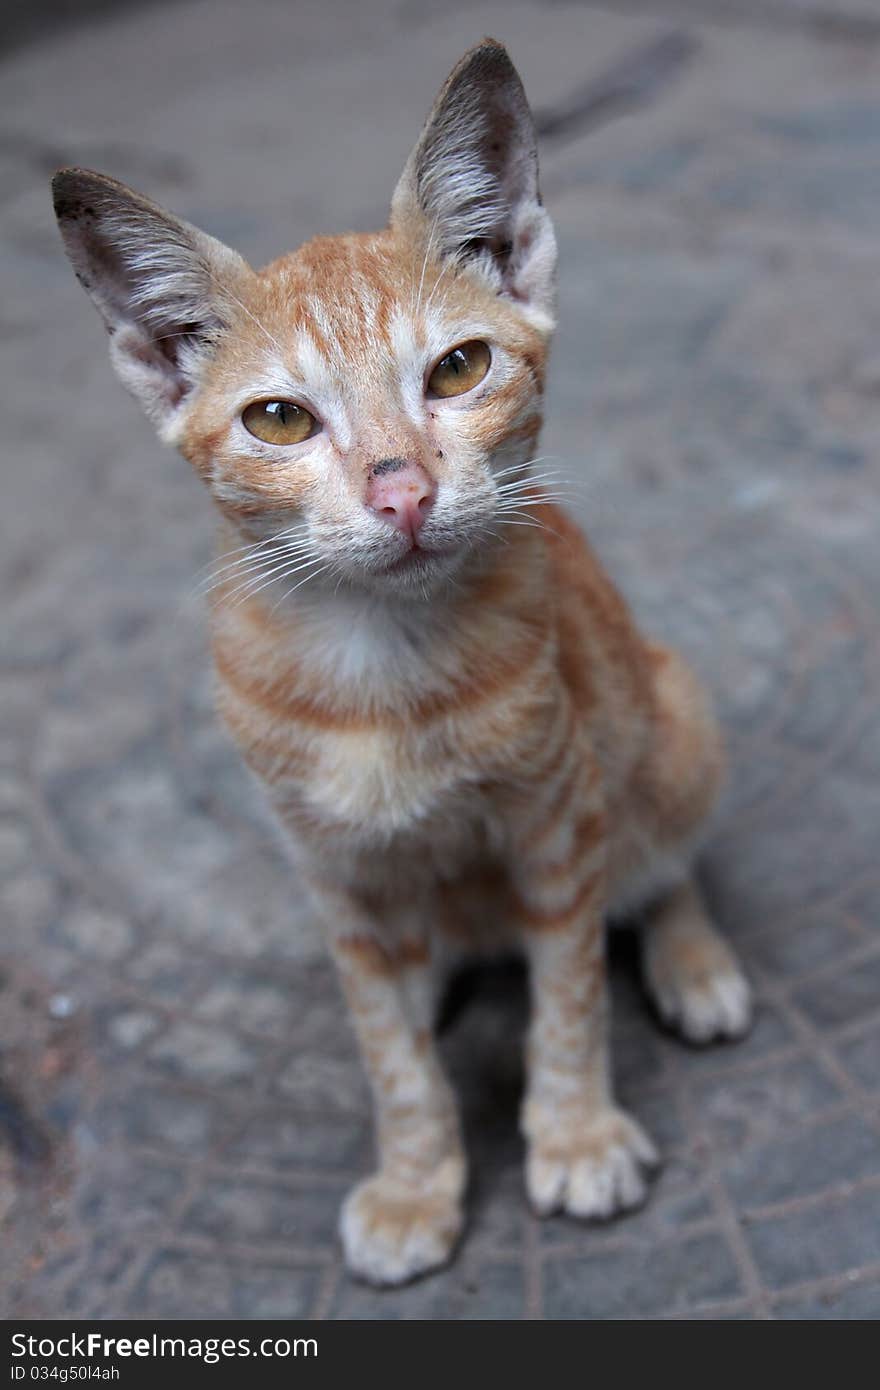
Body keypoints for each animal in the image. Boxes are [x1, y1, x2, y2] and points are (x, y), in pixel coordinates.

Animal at [51, 38, 750, 1284]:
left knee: (662, 860)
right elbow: (386, 1048)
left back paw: (691, 956)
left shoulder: (558, 817)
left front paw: (573, 1131)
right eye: (279, 420)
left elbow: (569, 993)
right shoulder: (331, 873)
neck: (379, 661)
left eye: (460, 367)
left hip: (667, 711)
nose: (403, 491)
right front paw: (417, 1179)